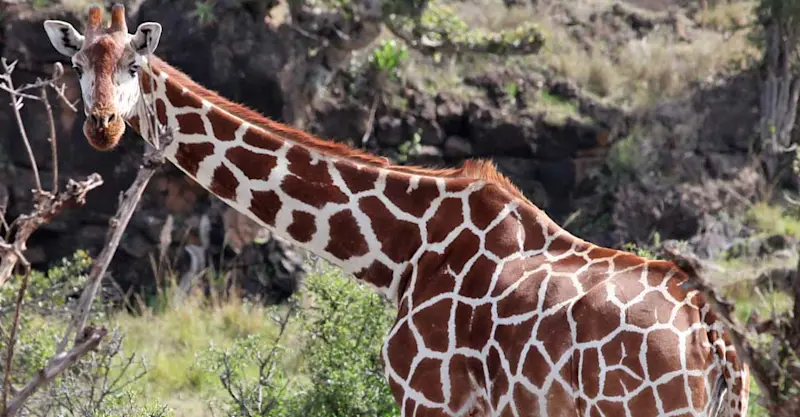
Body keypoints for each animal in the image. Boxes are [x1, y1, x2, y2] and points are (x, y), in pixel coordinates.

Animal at [42, 4, 751, 416]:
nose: (103, 126)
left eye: (135, 65)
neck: (399, 252)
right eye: (75, 64)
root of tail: (718, 347)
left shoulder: (428, 397)